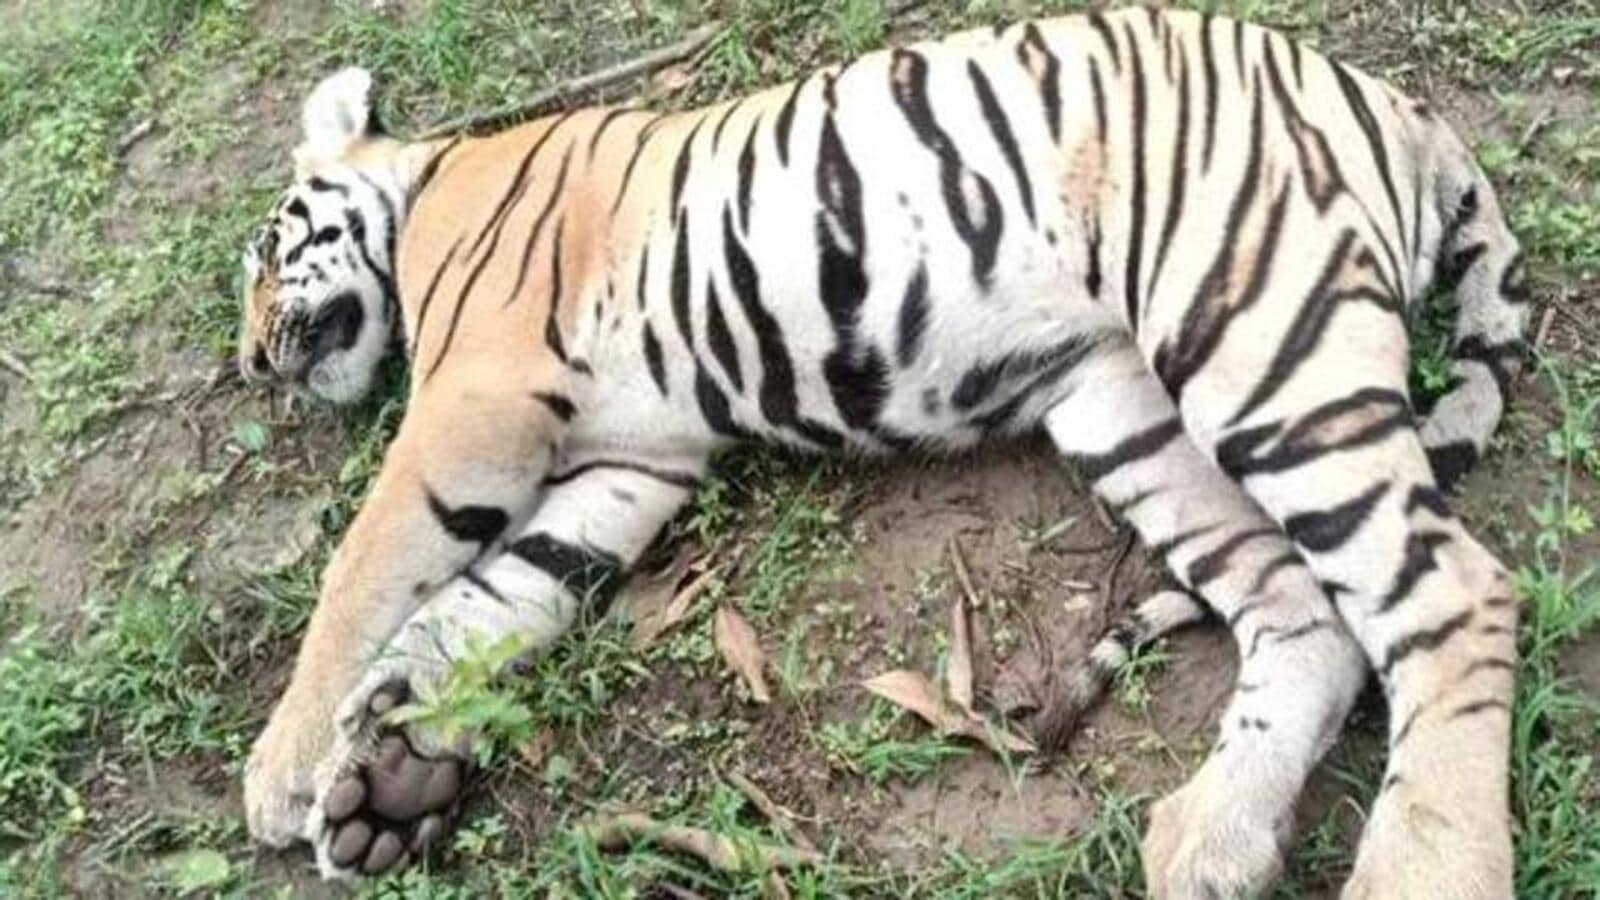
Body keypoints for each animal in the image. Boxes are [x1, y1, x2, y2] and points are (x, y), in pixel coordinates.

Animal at [233, 8, 1523, 896]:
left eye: (262, 255)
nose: (250, 361)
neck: (424, 188)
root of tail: (1391, 100)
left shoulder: (476, 400)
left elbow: (368, 568)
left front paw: (283, 770)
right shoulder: (629, 469)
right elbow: (490, 601)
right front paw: (390, 771)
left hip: (1254, 336)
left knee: (1456, 593)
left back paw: (1421, 870)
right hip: (1127, 410)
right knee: (1308, 612)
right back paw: (1211, 841)